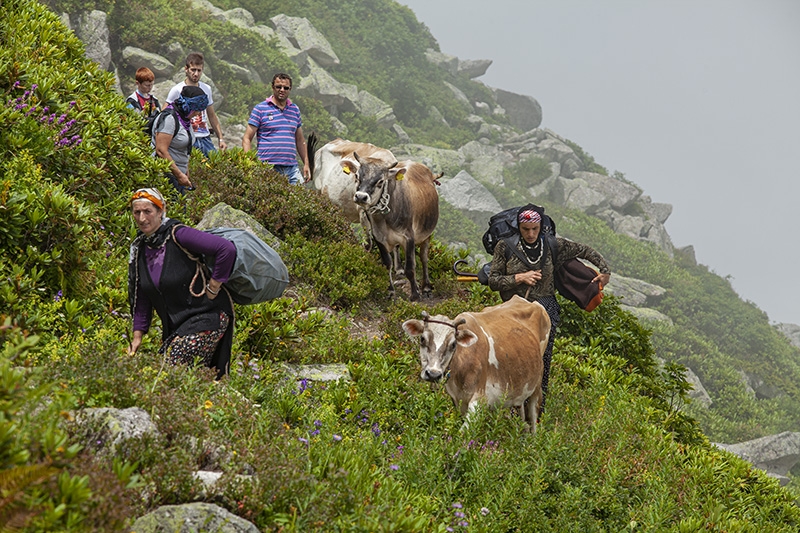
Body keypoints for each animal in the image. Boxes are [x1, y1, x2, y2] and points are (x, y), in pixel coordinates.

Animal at [404, 296, 552, 432]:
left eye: (453, 344)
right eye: (422, 339)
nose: (433, 374)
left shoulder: (479, 400)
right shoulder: (458, 400)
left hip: (537, 384)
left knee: (533, 415)